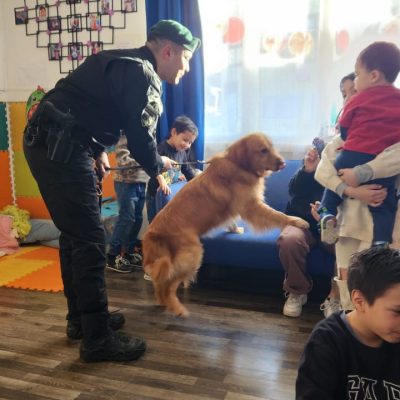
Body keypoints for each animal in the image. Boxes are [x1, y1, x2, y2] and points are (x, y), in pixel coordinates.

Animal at [141, 133, 310, 318]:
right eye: (263, 150)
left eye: (272, 147)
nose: (283, 163)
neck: (238, 164)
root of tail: (151, 233)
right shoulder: (252, 207)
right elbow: (277, 215)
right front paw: (296, 220)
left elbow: (233, 221)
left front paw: (235, 230)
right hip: (193, 254)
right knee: (168, 285)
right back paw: (176, 308)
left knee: (161, 283)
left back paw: (161, 302)